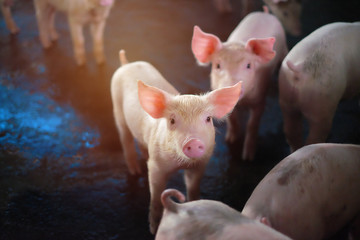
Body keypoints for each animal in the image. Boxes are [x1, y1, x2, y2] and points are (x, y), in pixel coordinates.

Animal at [109, 49, 242, 233]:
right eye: (172, 120)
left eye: (208, 119)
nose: (193, 141)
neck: (180, 163)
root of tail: (126, 63)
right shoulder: (156, 167)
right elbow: (156, 195)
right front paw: (153, 229)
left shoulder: (200, 164)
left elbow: (193, 188)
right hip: (117, 111)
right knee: (126, 139)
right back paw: (136, 171)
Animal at [191, 10, 286, 161]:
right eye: (218, 65)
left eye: (248, 65)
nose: (230, 86)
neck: (243, 103)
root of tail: (264, 13)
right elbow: (232, 118)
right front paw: (230, 140)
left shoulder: (260, 99)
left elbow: (252, 124)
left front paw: (248, 158)